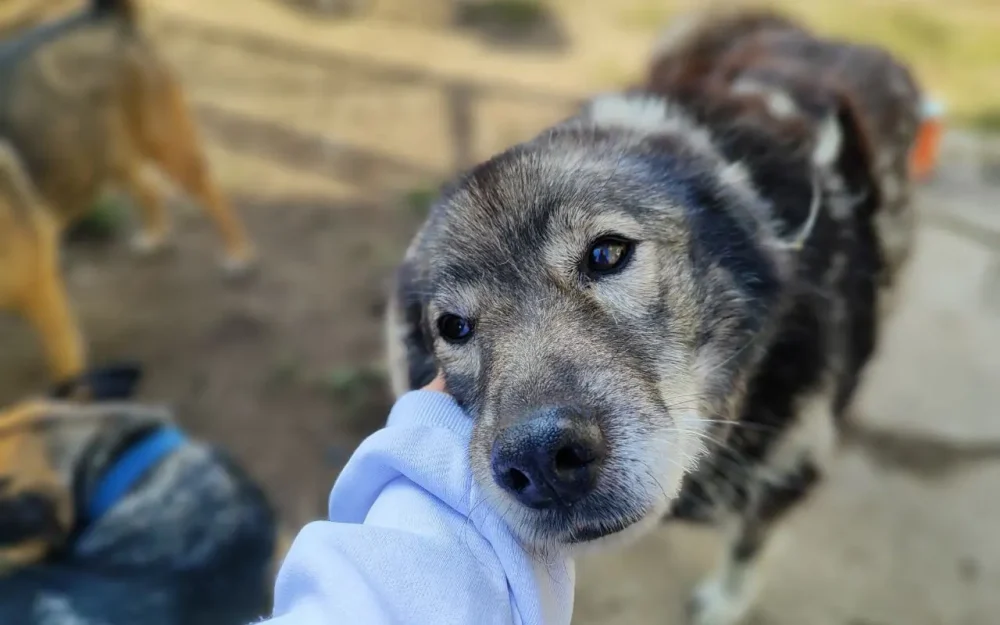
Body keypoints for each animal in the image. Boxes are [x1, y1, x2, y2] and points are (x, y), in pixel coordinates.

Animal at [0, 0, 254, 382]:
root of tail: (105, 16)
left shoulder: (42, 295)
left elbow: (67, 368)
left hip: (165, 147)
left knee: (211, 192)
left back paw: (238, 254)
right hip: (104, 154)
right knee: (149, 190)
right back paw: (155, 236)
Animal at [384, 9, 920, 624]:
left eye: (607, 253)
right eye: (453, 327)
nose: (541, 460)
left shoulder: (791, 466)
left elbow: (749, 542)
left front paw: (725, 601)